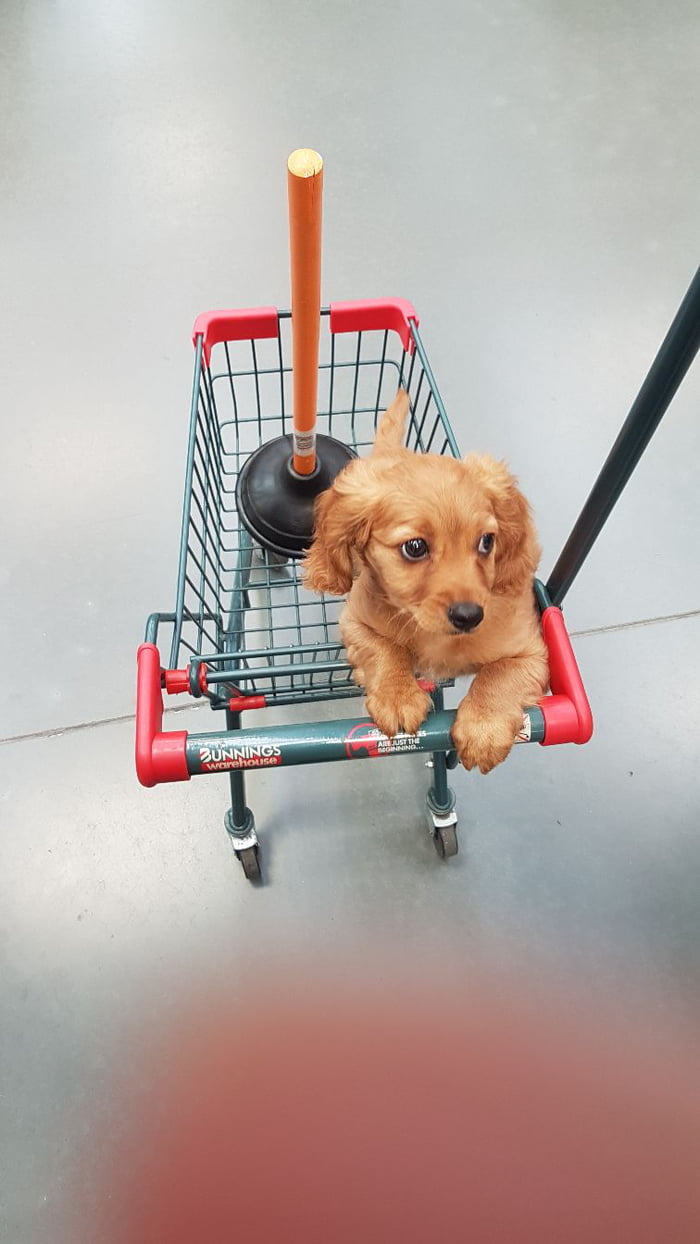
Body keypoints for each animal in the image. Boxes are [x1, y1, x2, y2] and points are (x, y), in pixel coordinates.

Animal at [304, 393, 549, 771]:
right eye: (415, 547)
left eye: (487, 541)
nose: (469, 616)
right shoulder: (355, 622)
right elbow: (385, 648)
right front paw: (398, 695)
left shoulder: (534, 653)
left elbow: (501, 672)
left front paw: (484, 725)